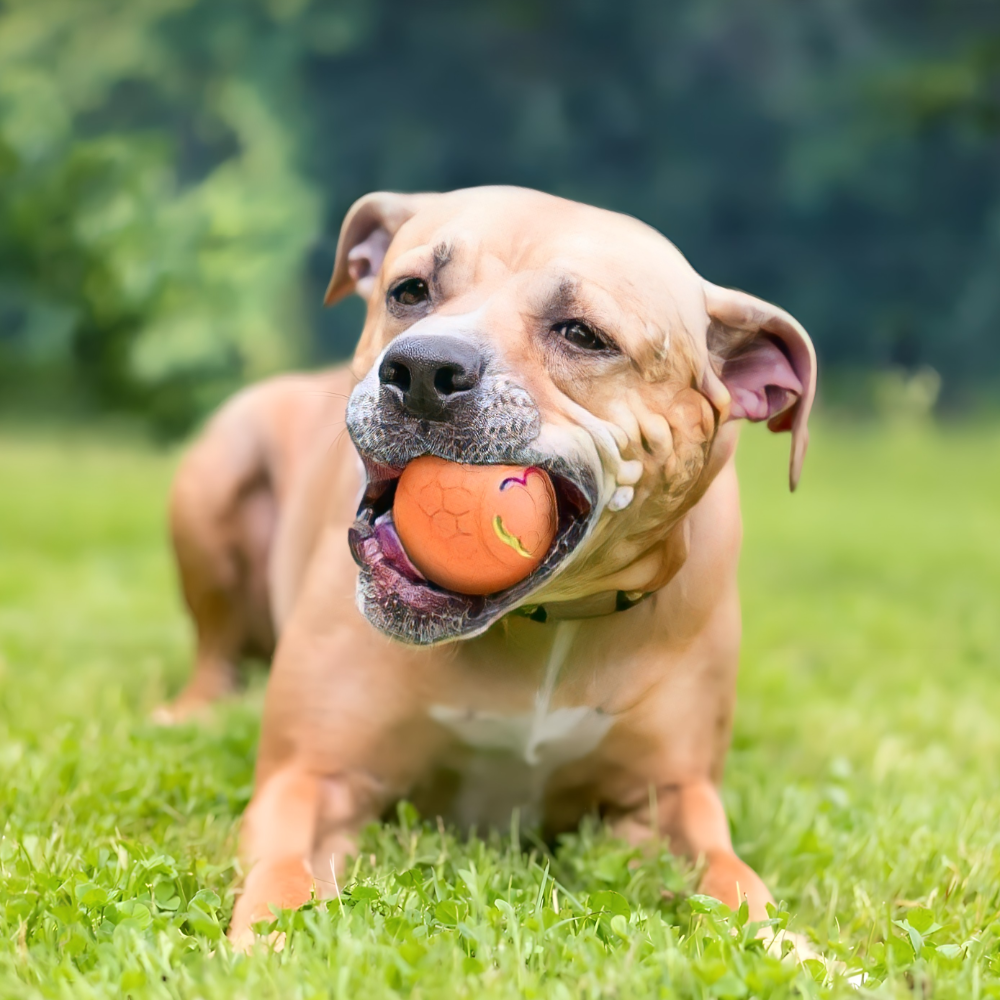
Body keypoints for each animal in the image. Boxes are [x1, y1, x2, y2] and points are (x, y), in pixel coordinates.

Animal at [164, 188, 816, 944]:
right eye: (409, 291)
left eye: (583, 334)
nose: (421, 369)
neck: (547, 619)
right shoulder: (311, 773)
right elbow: (285, 869)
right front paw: (275, 939)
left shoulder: (672, 798)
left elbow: (733, 879)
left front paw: (791, 947)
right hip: (214, 478)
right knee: (214, 646)